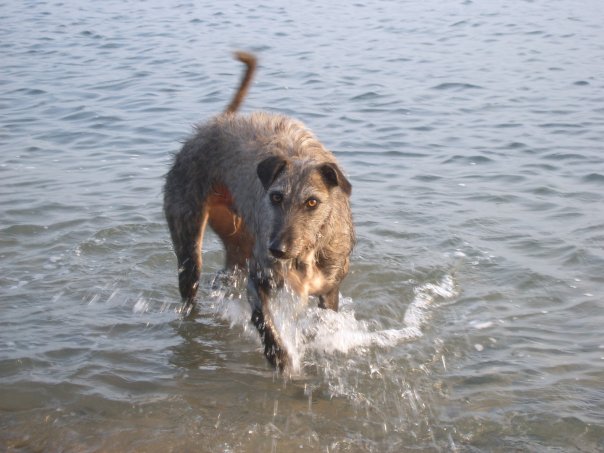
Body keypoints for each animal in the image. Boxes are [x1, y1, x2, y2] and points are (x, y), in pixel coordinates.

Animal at [163, 53, 356, 370]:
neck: (306, 252)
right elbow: (261, 317)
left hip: (237, 241)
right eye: (276, 197)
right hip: (189, 232)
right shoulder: (260, 276)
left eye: (312, 202)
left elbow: (324, 322)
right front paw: (278, 355)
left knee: (225, 273)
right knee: (192, 278)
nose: (278, 249)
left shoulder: (329, 289)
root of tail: (213, 124)